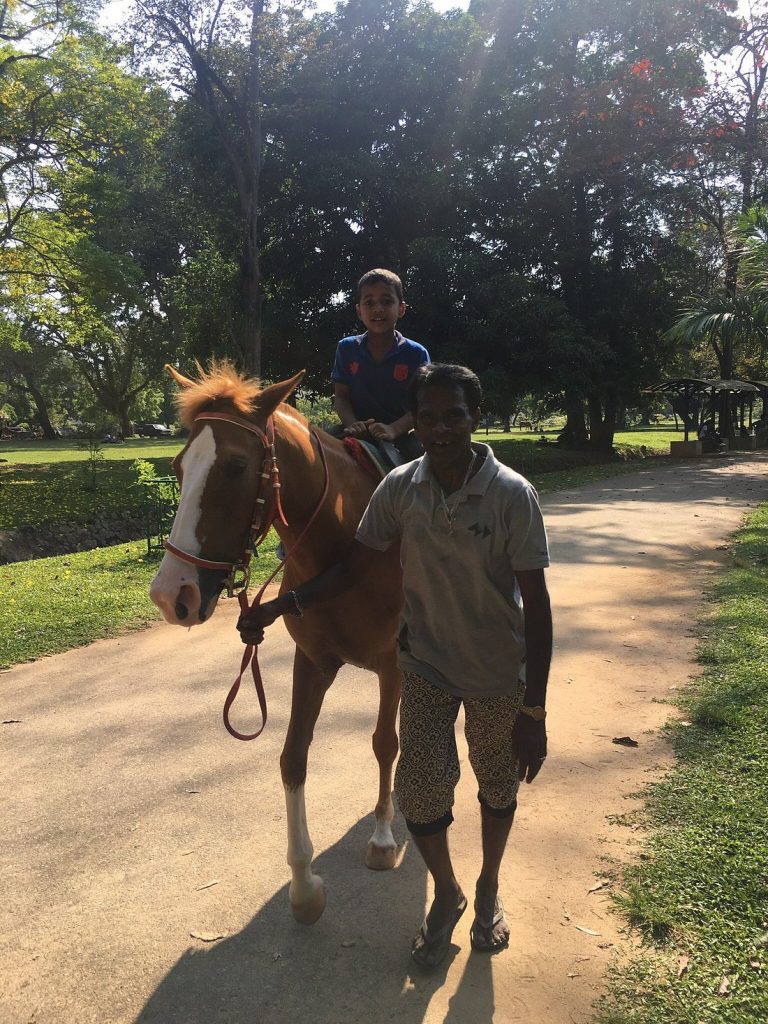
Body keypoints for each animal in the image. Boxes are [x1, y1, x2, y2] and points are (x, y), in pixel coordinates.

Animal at [147, 364, 405, 925]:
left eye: (236, 467)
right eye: (179, 467)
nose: (171, 594)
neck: (349, 543)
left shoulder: (393, 663)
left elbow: (384, 743)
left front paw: (381, 837)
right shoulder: (313, 663)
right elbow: (292, 759)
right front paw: (304, 886)